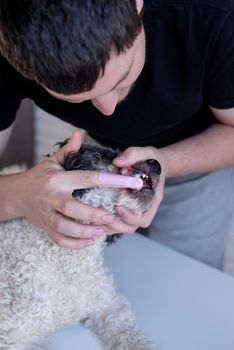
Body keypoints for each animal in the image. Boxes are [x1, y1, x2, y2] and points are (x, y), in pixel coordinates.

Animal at [0, 143, 161, 350]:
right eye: (107, 155)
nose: (157, 163)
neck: (69, 258)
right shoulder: (15, 336)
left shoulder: (108, 304)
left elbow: (130, 334)